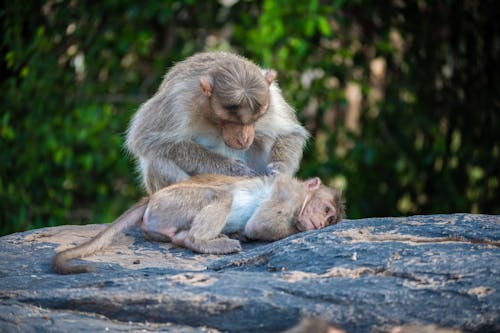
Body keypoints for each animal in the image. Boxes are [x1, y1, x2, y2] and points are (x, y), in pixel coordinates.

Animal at [51, 172, 344, 274]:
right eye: (327, 209)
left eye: (331, 219)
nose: (321, 223)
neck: (303, 198)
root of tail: (152, 196)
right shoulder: (289, 195)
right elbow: (259, 224)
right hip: (173, 202)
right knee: (221, 197)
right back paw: (200, 241)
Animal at [125, 51, 310, 193]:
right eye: (229, 120)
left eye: (255, 119)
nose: (244, 138)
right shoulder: (177, 102)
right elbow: (145, 139)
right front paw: (232, 168)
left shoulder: (272, 98)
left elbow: (290, 133)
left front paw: (280, 169)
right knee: (157, 161)